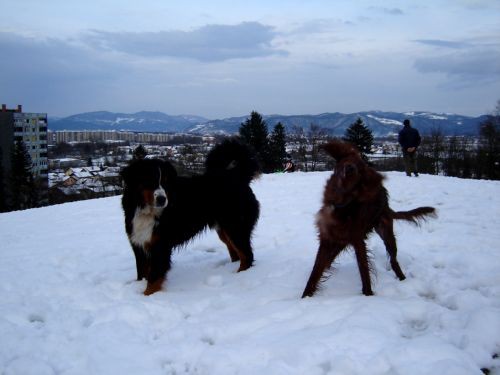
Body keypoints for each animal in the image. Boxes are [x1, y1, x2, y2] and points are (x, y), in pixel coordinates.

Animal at [121, 138, 260, 296]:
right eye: (149, 180)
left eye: (166, 181)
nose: (162, 199)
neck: (147, 210)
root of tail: (238, 177)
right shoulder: (139, 244)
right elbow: (142, 273)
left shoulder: (160, 246)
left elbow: (153, 279)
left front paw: (146, 296)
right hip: (225, 230)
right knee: (236, 252)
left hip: (236, 226)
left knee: (247, 255)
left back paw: (238, 277)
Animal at [300, 140, 438, 298]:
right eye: (349, 159)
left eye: (361, 170)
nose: (350, 168)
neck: (340, 205)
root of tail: (387, 205)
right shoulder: (327, 239)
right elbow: (315, 274)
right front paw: (305, 297)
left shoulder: (358, 240)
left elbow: (364, 272)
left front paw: (368, 295)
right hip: (342, 240)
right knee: (330, 259)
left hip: (387, 234)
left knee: (394, 261)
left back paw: (403, 279)